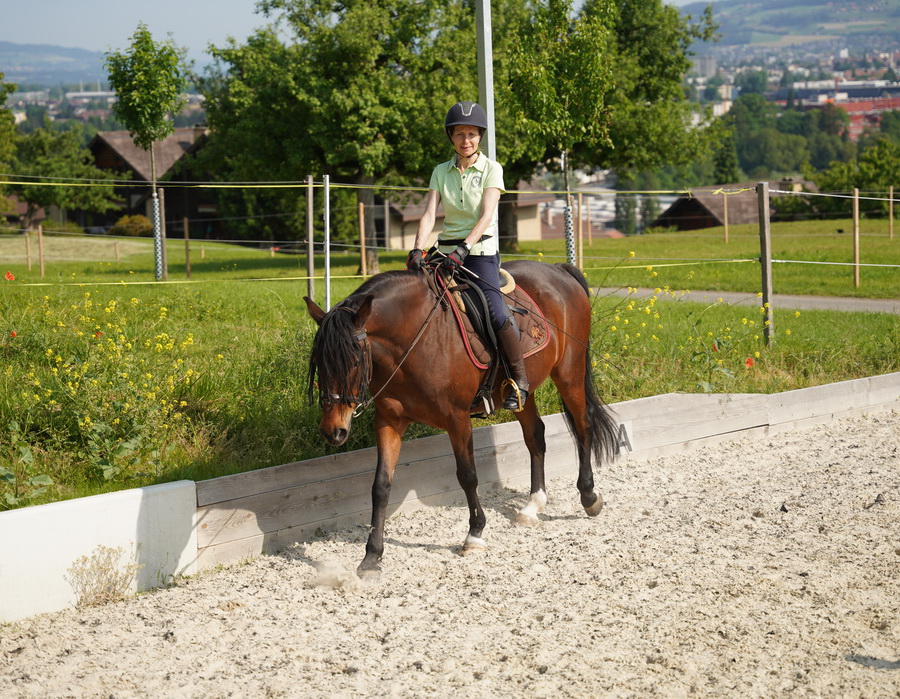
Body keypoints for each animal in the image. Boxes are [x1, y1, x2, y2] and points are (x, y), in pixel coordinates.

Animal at [304, 260, 619, 577]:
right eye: (318, 361)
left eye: (354, 361)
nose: (333, 430)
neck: (415, 339)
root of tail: (558, 269)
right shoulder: (389, 420)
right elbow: (381, 486)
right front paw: (371, 557)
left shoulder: (456, 418)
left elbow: (467, 476)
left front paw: (475, 535)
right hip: (522, 394)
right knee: (535, 435)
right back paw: (532, 506)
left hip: (569, 373)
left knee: (583, 425)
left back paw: (589, 496)